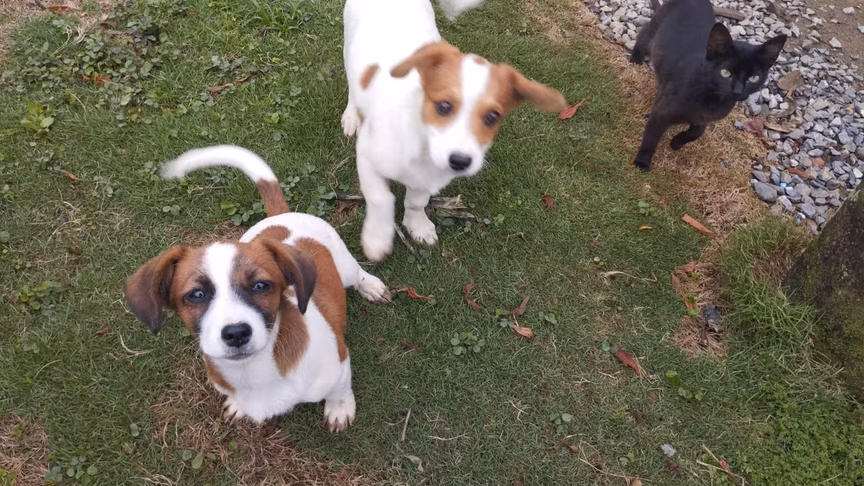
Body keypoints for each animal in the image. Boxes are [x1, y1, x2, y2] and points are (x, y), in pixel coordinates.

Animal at [124, 145, 391, 431]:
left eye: (261, 285)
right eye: (196, 294)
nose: (236, 333)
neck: (254, 369)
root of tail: (281, 216)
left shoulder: (340, 363)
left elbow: (340, 390)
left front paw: (339, 410)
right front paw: (238, 406)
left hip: (345, 265)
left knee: (358, 273)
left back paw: (371, 286)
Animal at [341, 0, 568, 262]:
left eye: (492, 117)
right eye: (444, 106)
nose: (460, 161)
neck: (422, 144)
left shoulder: (426, 179)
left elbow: (417, 202)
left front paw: (417, 225)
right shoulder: (367, 157)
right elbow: (380, 198)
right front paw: (377, 238)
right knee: (353, 87)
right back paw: (351, 116)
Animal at [629, 0, 787, 171]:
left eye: (753, 78)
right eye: (725, 73)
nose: (737, 91)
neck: (712, 98)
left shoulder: (704, 118)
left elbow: (698, 131)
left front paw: (676, 143)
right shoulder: (661, 112)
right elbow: (651, 138)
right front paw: (642, 163)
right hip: (657, 25)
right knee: (645, 34)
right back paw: (635, 59)